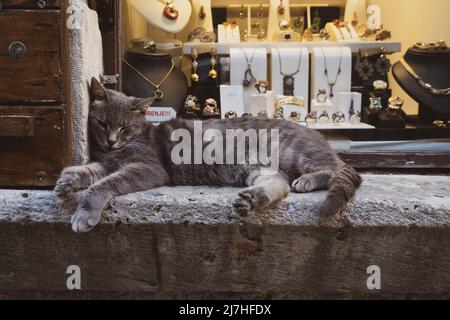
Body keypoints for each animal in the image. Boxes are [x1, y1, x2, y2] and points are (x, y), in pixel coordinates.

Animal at [54, 78, 362, 232]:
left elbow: (101, 185)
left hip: (293, 153)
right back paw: (251, 199)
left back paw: (307, 180)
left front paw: (85, 213)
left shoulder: (147, 168)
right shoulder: (106, 162)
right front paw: (65, 182)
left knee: (337, 170)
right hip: (257, 169)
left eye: (124, 127)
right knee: (280, 184)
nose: (111, 141)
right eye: (102, 123)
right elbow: (87, 172)